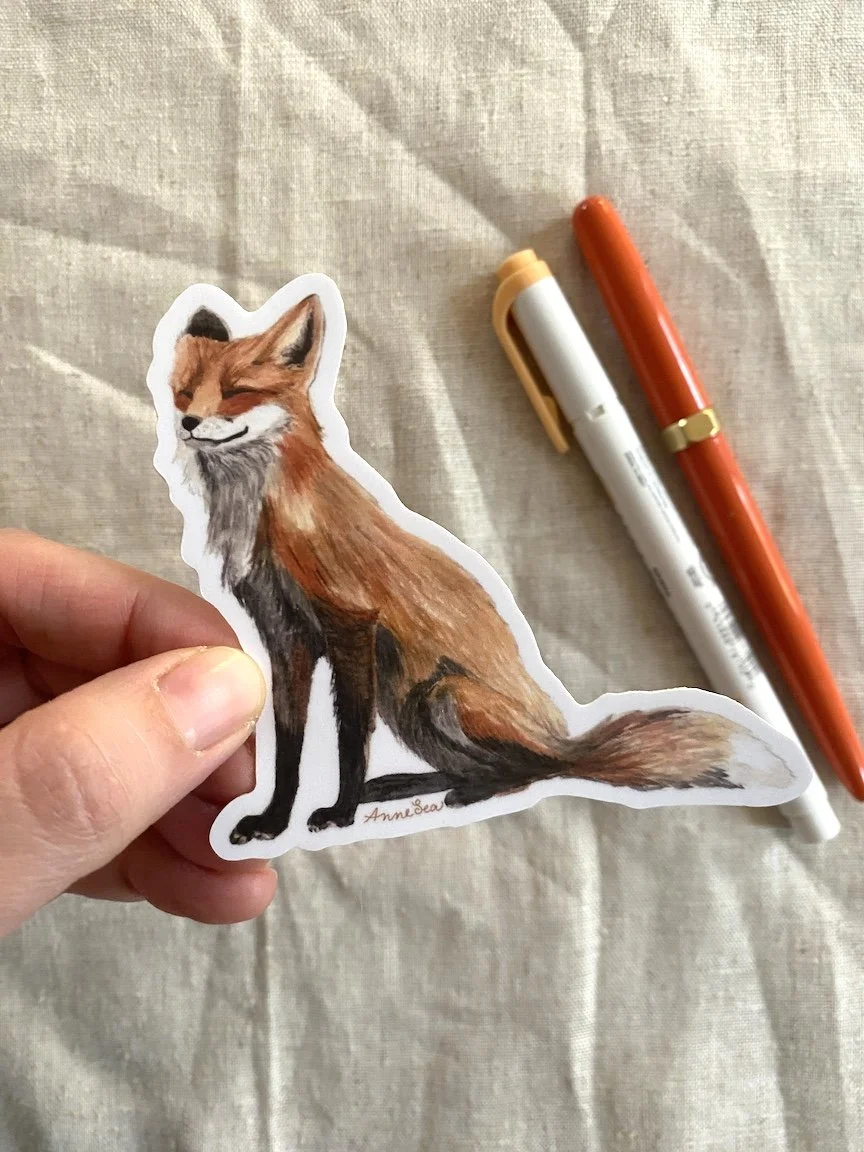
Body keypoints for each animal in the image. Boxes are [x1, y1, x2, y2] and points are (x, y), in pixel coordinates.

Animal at [162, 281, 799, 847]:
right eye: (184, 392)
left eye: (237, 391)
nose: (188, 425)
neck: (266, 514)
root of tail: (561, 734)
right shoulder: (283, 636)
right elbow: (290, 749)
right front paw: (273, 823)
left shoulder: (351, 624)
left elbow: (347, 741)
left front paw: (339, 814)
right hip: (410, 706)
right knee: (490, 766)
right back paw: (406, 785)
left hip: (439, 695)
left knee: (536, 771)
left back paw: (464, 793)